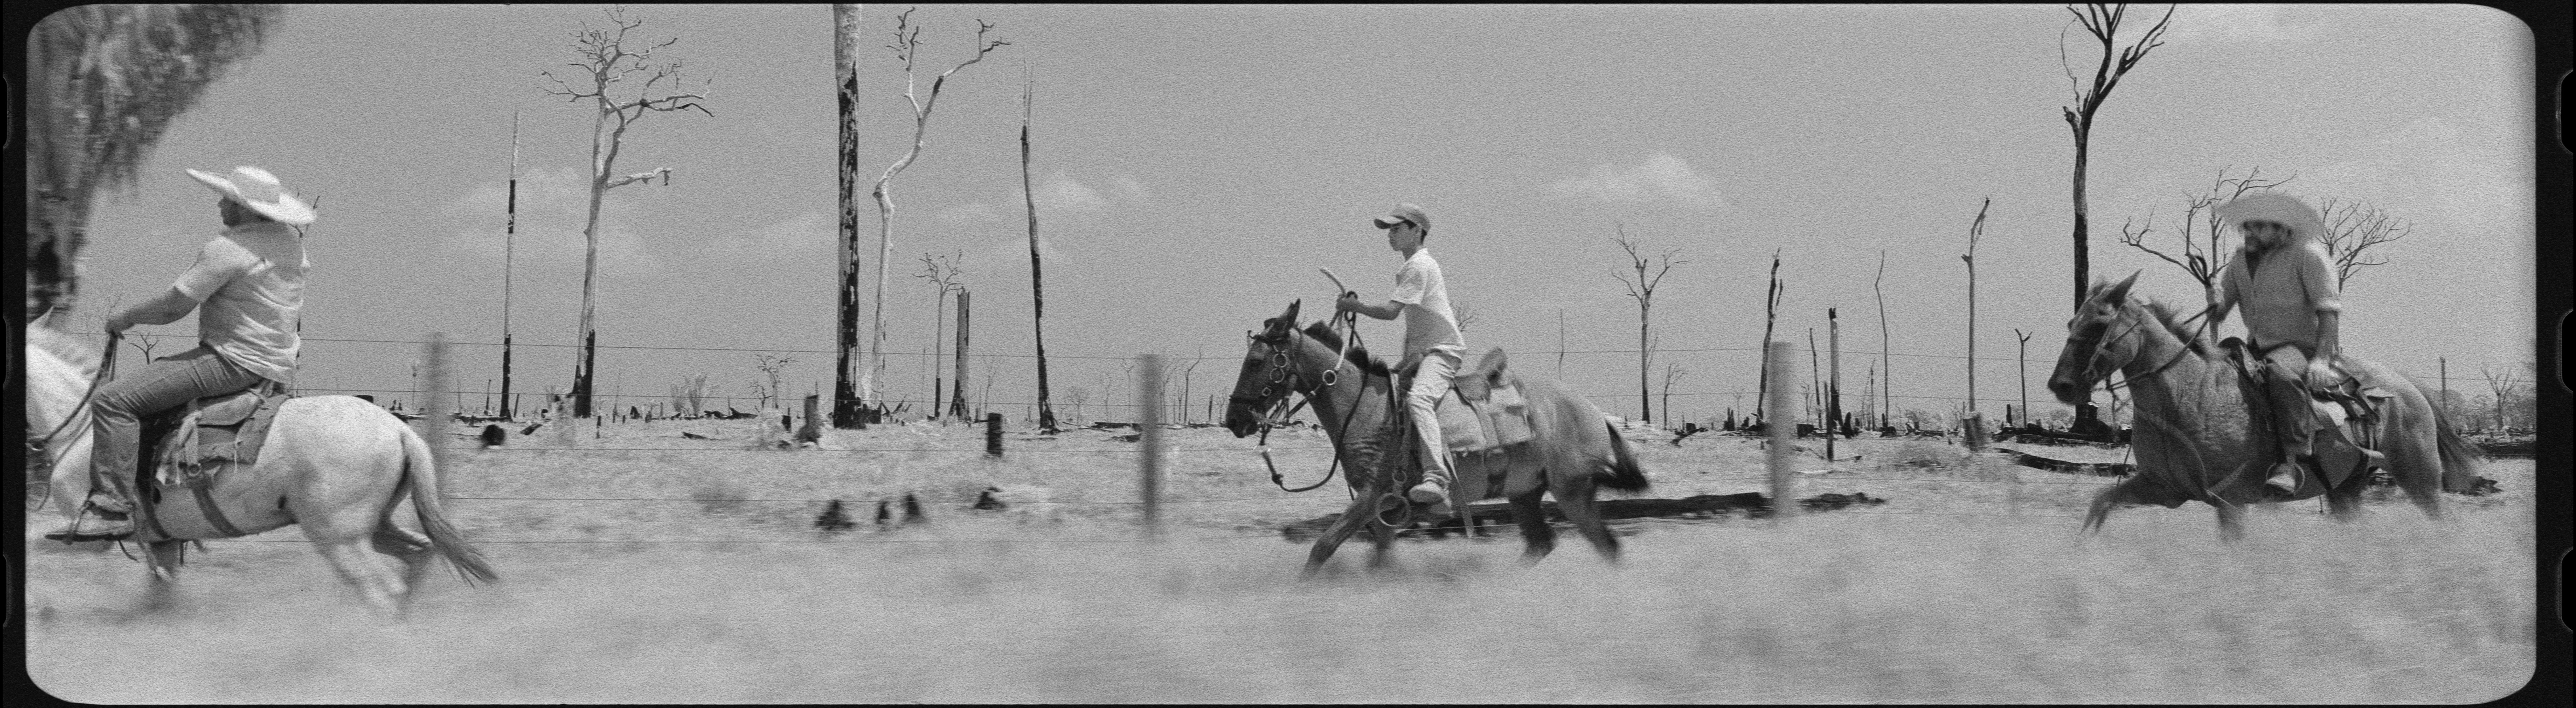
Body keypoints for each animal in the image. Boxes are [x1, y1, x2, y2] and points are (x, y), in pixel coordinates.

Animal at [25, 324, 495, 618]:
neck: (83, 431)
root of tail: (401, 431)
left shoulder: (90, 535)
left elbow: (33, 545)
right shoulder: (161, 541)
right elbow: (161, 600)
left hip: (340, 537)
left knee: (381, 592)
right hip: (375, 526)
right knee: (417, 557)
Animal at [1216, 301, 1638, 577]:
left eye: (1256, 361)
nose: (1234, 419)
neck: (1367, 409)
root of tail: (1596, 413)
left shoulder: (1371, 498)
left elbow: (1322, 549)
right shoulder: (1386, 514)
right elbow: (1378, 560)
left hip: (1572, 491)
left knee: (1607, 547)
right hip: (1526, 493)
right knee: (1542, 544)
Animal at [2040, 274, 2483, 541]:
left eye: (2100, 325)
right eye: (2071, 323)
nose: (2061, 385)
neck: (2187, 396)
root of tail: (2409, 388)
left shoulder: (2230, 503)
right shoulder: (2161, 489)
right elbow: (2099, 506)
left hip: (2420, 479)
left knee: (2445, 522)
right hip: (2347, 492)